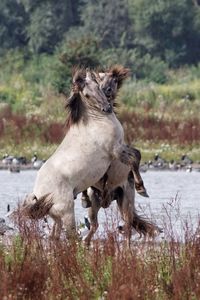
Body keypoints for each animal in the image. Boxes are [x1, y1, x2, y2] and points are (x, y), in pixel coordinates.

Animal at [23, 68, 139, 239]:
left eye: (97, 87)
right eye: (86, 95)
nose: (107, 108)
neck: (95, 122)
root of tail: (39, 193)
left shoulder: (120, 147)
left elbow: (136, 155)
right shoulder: (115, 150)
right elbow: (133, 159)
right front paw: (141, 186)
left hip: (56, 217)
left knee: (55, 237)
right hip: (67, 212)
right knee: (71, 236)